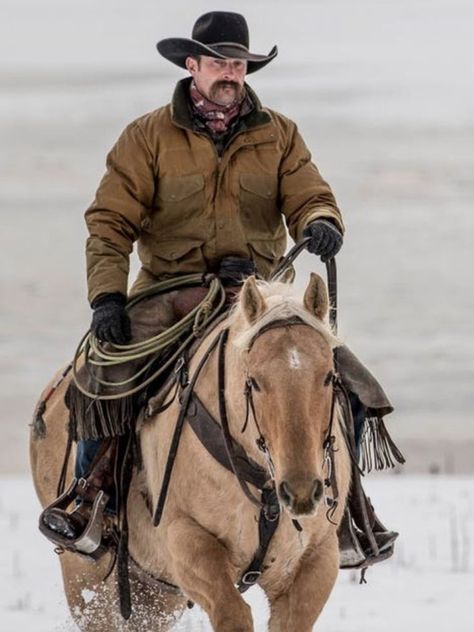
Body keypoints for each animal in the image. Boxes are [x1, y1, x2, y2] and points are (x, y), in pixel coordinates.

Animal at [29, 272, 350, 632]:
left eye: (329, 376)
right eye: (253, 381)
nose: (301, 491)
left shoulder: (316, 559)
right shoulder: (185, 541)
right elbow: (233, 614)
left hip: (156, 593)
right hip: (86, 577)